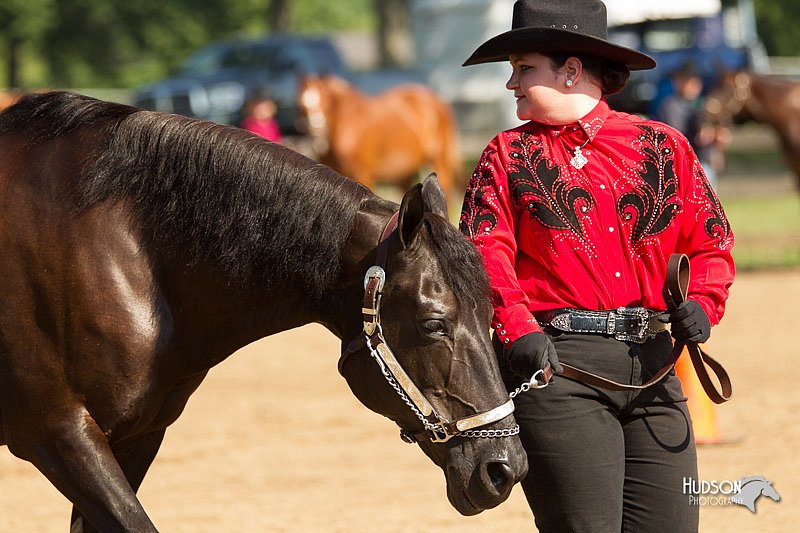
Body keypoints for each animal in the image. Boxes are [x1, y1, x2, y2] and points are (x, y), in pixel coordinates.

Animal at [0, 92, 524, 532]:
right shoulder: (60, 434)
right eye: (434, 324)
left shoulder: (137, 437)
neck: (118, 248)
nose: (505, 468)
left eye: (490, 313)